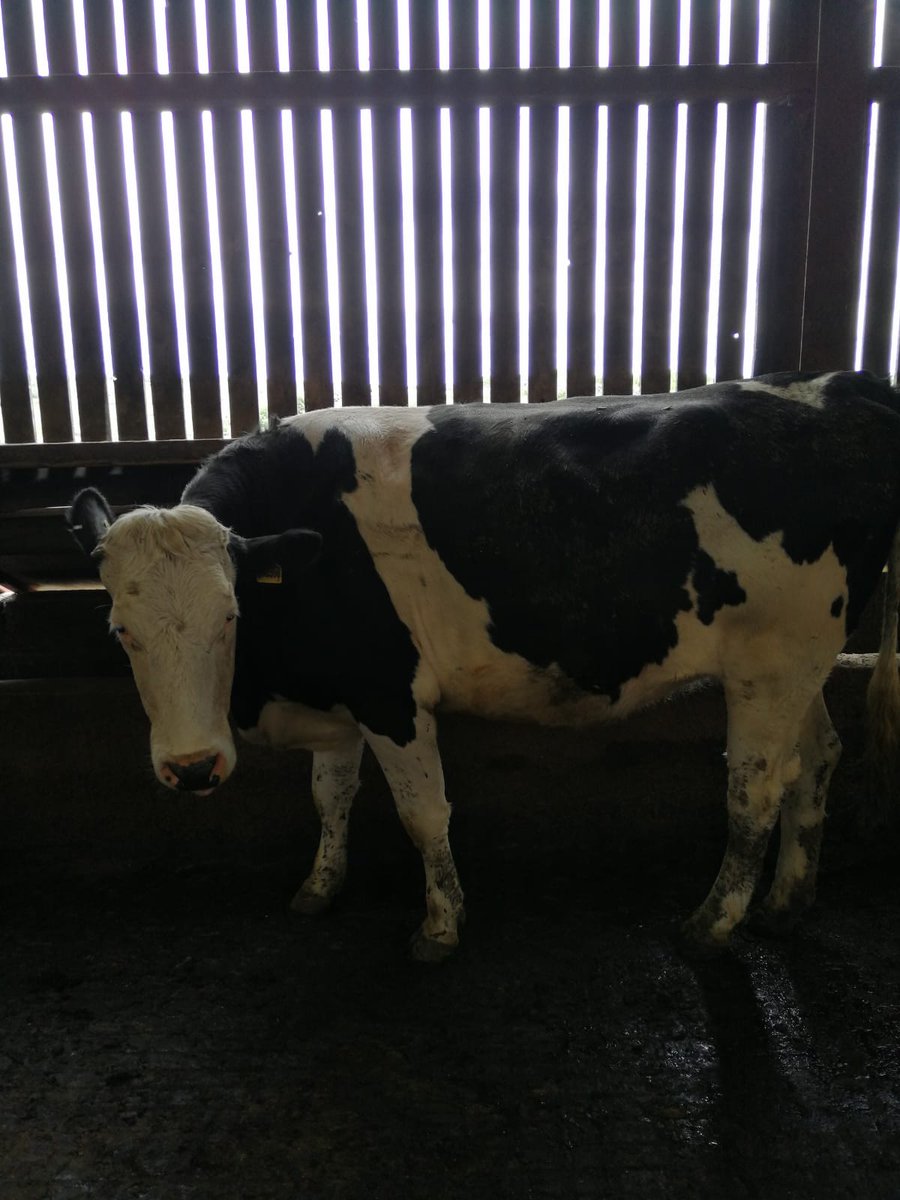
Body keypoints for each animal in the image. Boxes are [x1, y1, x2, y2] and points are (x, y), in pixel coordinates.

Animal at [69, 370, 900, 961]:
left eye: (231, 615)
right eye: (120, 629)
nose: (193, 768)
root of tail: (840, 383)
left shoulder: (389, 692)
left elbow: (422, 813)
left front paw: (439, 927)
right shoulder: (345, 694)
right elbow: (330, 797)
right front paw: (319, 886)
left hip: (773, 658)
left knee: (754, 790)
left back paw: (712, 924)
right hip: (798, 660)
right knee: (818, 757)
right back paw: (787, 904)